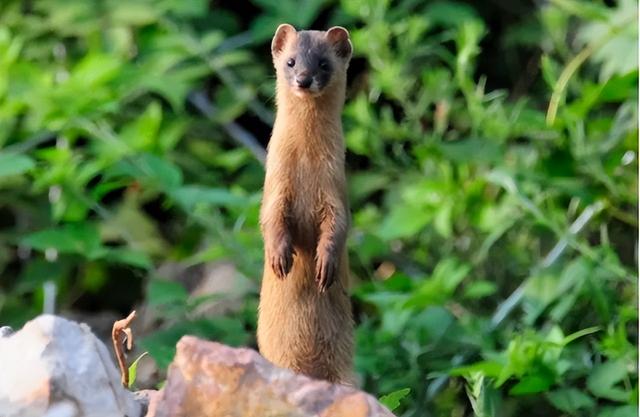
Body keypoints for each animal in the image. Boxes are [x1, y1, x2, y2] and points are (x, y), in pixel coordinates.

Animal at [256, 23, 356, 384]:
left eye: (324, 64)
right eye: (291, 61)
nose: (303, 79)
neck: (306, 166)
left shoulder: (336, 187)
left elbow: (338, 225)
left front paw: (324, 266)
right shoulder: (275, 183)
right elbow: (270, 218)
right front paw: (279, 258)